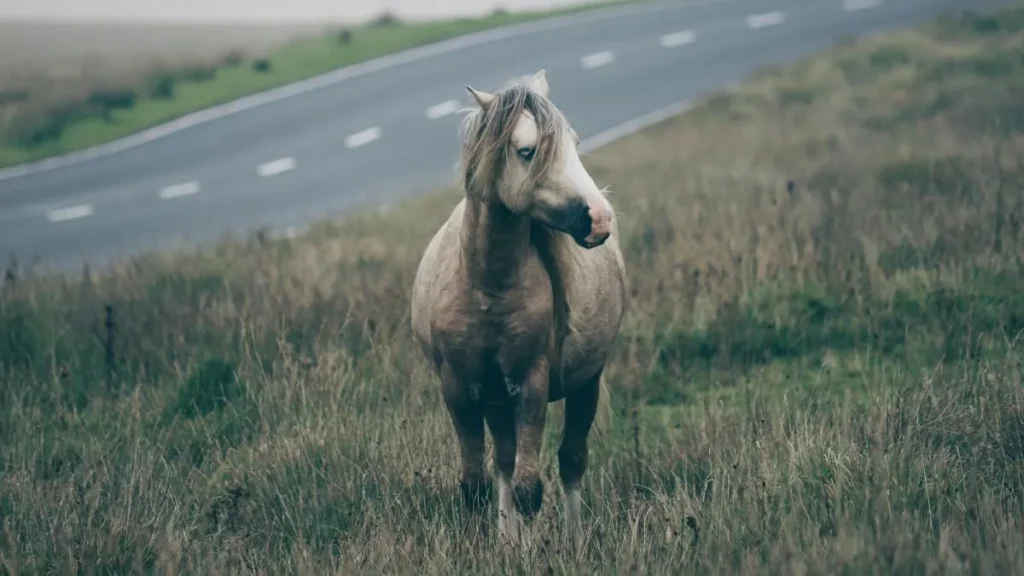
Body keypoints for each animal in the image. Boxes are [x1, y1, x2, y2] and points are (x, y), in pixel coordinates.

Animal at [409, 69, 627, 544]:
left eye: (574, 143)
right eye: (527, 151)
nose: (600, 219)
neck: (487, 287)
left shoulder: (530, 383)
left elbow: (531, 489)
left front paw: (529, 549)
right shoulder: (459, 389)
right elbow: (476, 483)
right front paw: (493, 546)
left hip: (584, 385)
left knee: (571, 460)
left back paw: (573, 539)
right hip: (494, 401)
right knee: (504, 464)